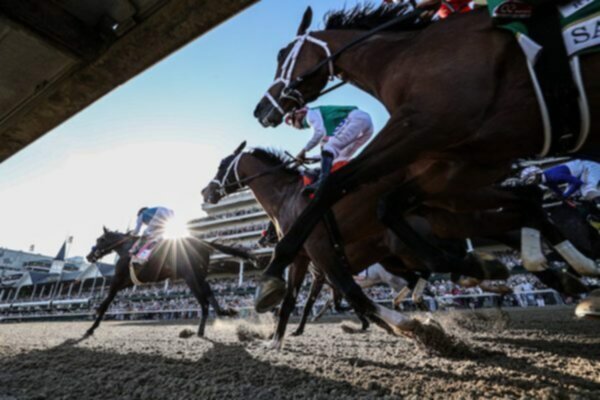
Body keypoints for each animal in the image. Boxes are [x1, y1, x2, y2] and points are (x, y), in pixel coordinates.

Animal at [84, 228, 253, 338]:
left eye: (101, 240)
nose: (89, 256)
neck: (127, 250)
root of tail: (202, 243)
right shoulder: (127, 283)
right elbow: (107, 302)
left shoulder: (117, 280)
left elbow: (106, 303)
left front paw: (91, 327)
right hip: (199, 276)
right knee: (209, 294)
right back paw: (224, 313)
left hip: (191, 278)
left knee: (204, 303)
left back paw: (199, 330)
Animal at [253, 5, 600, 312]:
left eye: (283, 54)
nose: (261, 109)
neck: (402, 58)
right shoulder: (466, 158)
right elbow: (386, 207)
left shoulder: (420, 128)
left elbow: (336, 183)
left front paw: (274, 270)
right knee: (523, 204)